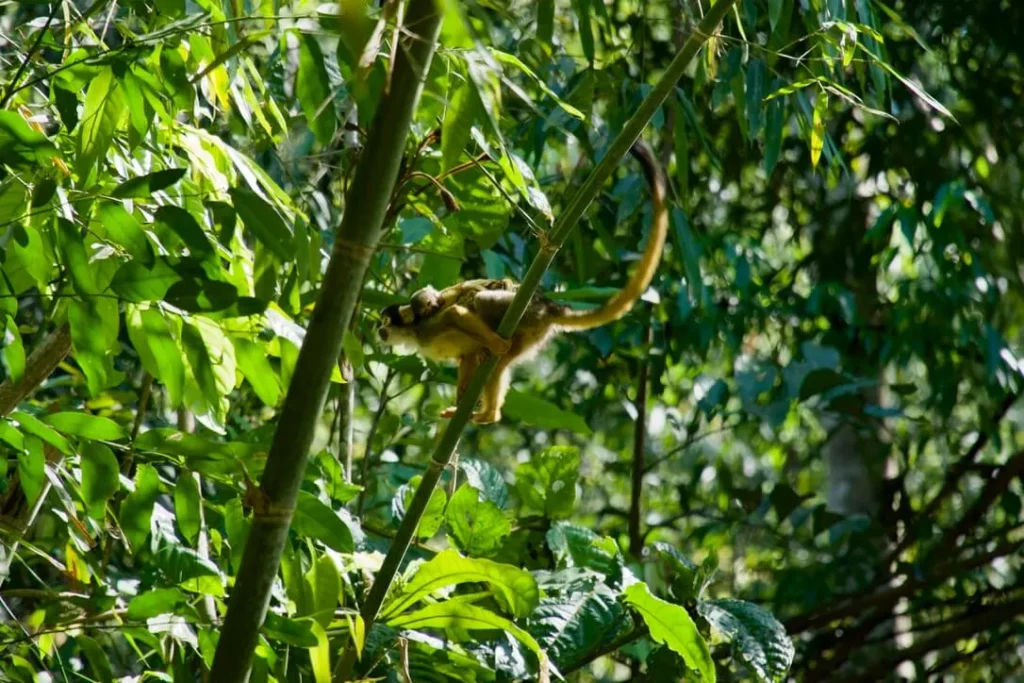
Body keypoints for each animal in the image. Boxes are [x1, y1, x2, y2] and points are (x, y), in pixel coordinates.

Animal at [377, 141, 668, 425]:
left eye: (385, 322)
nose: (378, 330)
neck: (412, 334)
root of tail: (549, 306)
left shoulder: (427, 327)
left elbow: (454, 313)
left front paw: (491, 345)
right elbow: (466, 356)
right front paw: (460, 405)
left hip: (526, 313)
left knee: (486, 311)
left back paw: (494, 371)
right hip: (533, 333)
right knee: (501, 363)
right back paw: (489, 413)